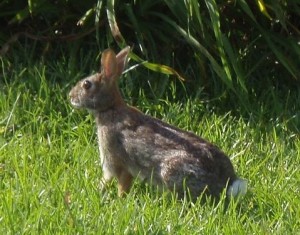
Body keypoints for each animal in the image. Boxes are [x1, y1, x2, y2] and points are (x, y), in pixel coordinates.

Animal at [69, 46, 247, 201]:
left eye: (86, 85)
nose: (70, 96)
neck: (110, 108)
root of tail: (227, 183)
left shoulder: (115, 162)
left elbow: (116, 182)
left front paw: (115, 198)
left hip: (172, 172)